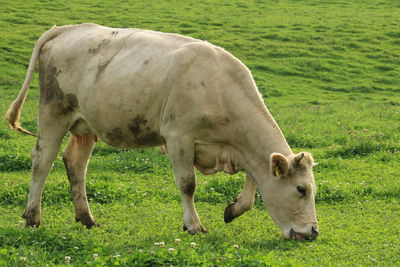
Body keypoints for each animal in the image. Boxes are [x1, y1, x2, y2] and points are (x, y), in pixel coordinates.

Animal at [4, 23, 318, 241]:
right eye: (301, 189)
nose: (313, 232)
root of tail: (69, 28)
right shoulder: (179, 137)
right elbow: (188, 184)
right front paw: (193, 225)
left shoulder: (238, 150)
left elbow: (253, 182)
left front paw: (233, 209)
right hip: (53, 112)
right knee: (42, 161)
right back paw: (32, 217)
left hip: (85, 125)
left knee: (76, 164)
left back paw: (86, 218)